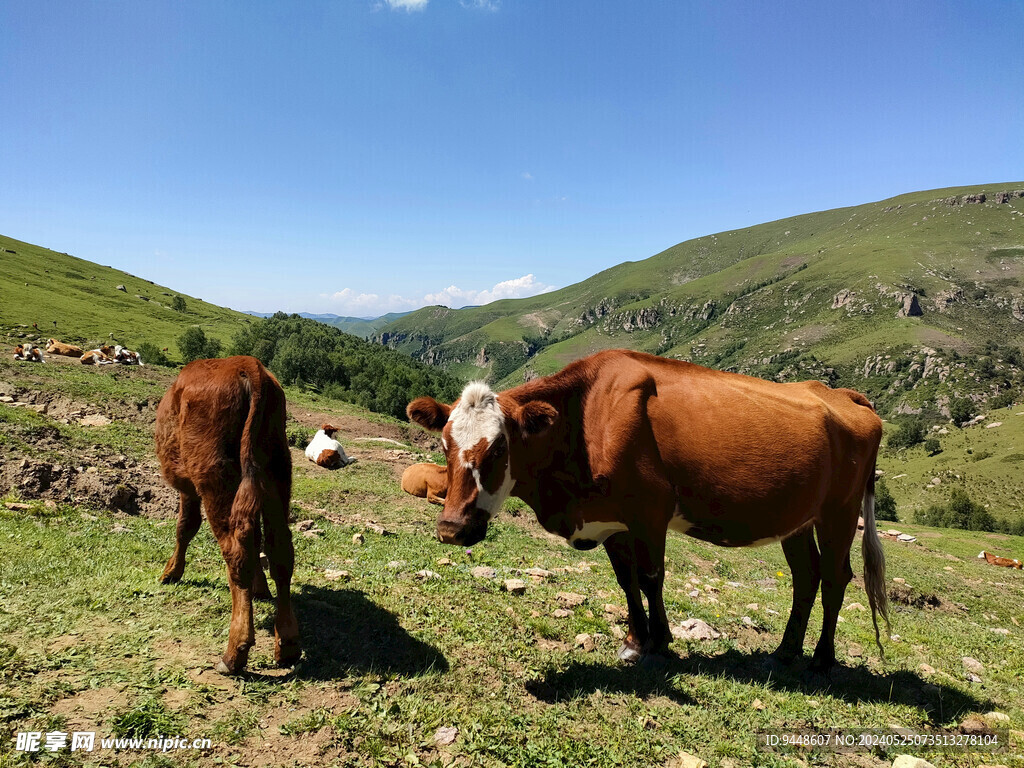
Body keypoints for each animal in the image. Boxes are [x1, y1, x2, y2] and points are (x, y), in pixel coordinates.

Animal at [153, 358, 299, 675]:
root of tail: (249, 366)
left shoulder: (188, 487)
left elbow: (185, 527)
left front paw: (171, 571)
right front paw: (260, 588)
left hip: (213, 476)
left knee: (236, 550)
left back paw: (234, 653)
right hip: (276, 474)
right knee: (279, 550)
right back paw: (288, 645)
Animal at [407, 348, 888, 671]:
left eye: (499, 448)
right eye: (445, 444)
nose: (451, 529)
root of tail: (842, 394)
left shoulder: (651, 511)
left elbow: (652, 577)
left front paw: (660, 641)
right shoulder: (611, 519)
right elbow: (626, 580)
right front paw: (636, 640)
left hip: (840, 512)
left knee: (836, 576)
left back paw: (822, 659)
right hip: (797, 519)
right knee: (806, 576)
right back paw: (785, 652)